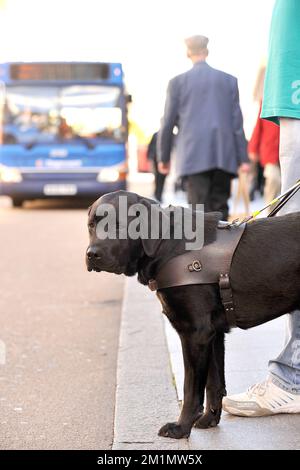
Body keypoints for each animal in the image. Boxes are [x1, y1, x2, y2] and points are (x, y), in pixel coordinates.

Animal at [85, 190, 300, 436]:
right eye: (91, 226)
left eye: (119, 225)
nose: (91, 254)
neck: (165, 246)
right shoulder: (214, 334)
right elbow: (214, 383)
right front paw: (209, 419)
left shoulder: (196, 332)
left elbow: (191, 387)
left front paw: (180, 427)